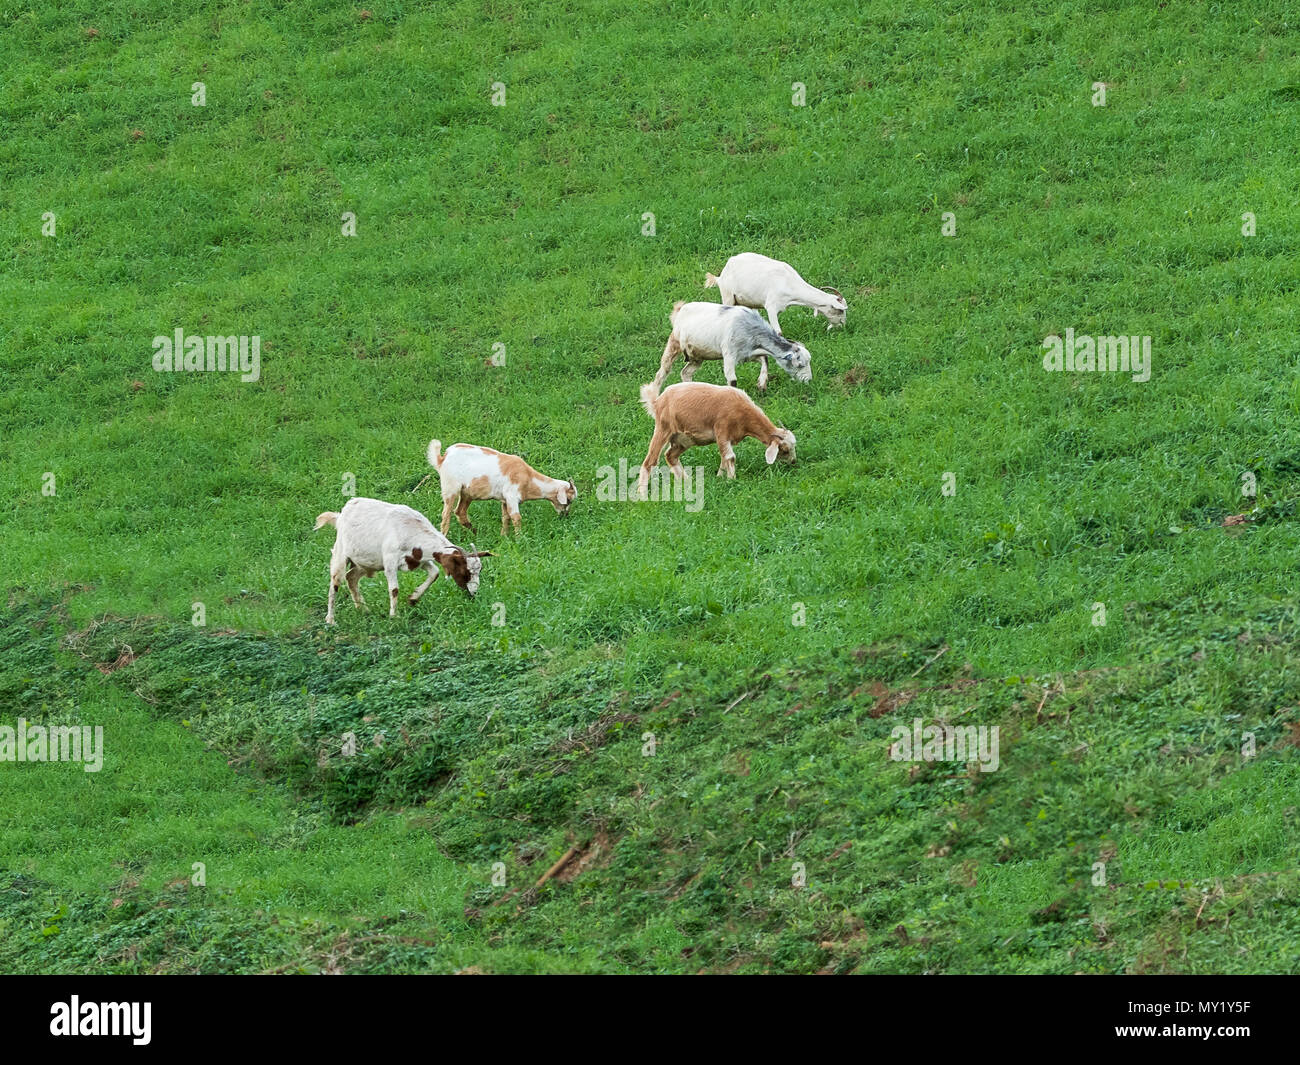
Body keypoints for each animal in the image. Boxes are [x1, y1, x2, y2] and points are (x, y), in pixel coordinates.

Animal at [313, 496, 491, 624]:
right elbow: (394, 589)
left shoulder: (418, 559)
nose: (474, 593)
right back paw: (331, 620)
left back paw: (363, 609)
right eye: (465, 571)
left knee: (351, 577)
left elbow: (434, 573)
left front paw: (413, 598)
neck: (410, 528)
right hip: (341, 553)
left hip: (366, 562)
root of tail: (340, 515)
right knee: (335, 583)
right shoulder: (390, 561)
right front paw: (394, 616)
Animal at [428, 439, 577, 538]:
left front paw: (504, 537)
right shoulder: (512, 496)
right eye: (569, 500)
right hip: (450, 488)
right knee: (446, 514)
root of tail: (442, 458)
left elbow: (506, 517)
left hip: (466, 493)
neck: (529, 479)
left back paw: (475, 532)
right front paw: (519, 538)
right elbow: (516, 517)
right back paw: (445, 537)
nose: (565, 515)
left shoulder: (505, 500)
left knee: (460, 512)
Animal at [637, 379, 790, 496]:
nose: (793, 462)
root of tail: (656, 401)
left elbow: (724, 457)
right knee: (650, 461)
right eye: (785, 450)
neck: (745, 416)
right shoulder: (722, 429)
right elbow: (730, 457)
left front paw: (720, 477)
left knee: (670, 455)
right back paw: (642, 493)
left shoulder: (727, 438)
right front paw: (732, 480)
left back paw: (687, 481)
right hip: (663, 428)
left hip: (683, 439)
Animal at [655, 297, 806, 392]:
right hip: (673, 345)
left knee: (685, 372)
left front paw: (762, 384)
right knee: (661, 374)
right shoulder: (729, 354)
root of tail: (679, 310)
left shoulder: (747, 354)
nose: (807, 381)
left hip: (697, 356)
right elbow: (732, 380)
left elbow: (765, 359)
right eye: (800, 365)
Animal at [707, 249, 847, 332]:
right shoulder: (771, 306)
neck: (790, 282)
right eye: (840, 310)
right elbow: (778, 332)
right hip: (728, 295)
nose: (843, 324)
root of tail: (721, 275)